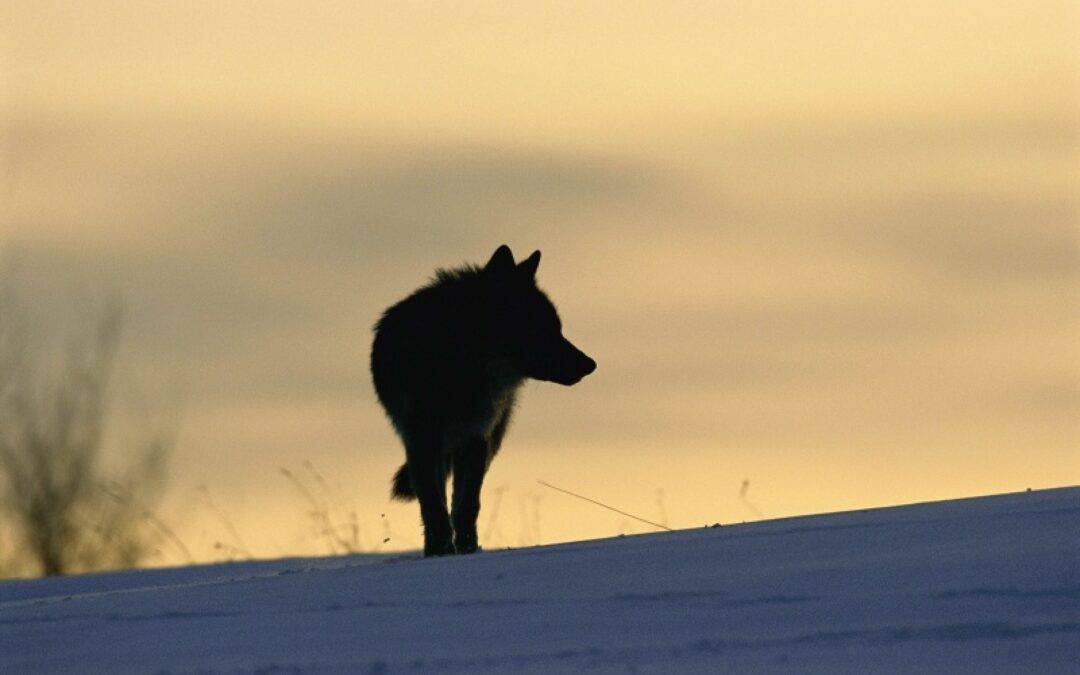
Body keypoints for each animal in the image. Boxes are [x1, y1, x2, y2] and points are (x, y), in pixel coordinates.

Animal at [371, 245, 596, 556]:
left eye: (558, 328)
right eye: (543, 329)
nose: (590, 364)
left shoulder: (476, 437)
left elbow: (467, 506)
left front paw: (467, 551)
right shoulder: (422, 439)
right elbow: (433, 506)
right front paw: (440, 553)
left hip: (489, 440)